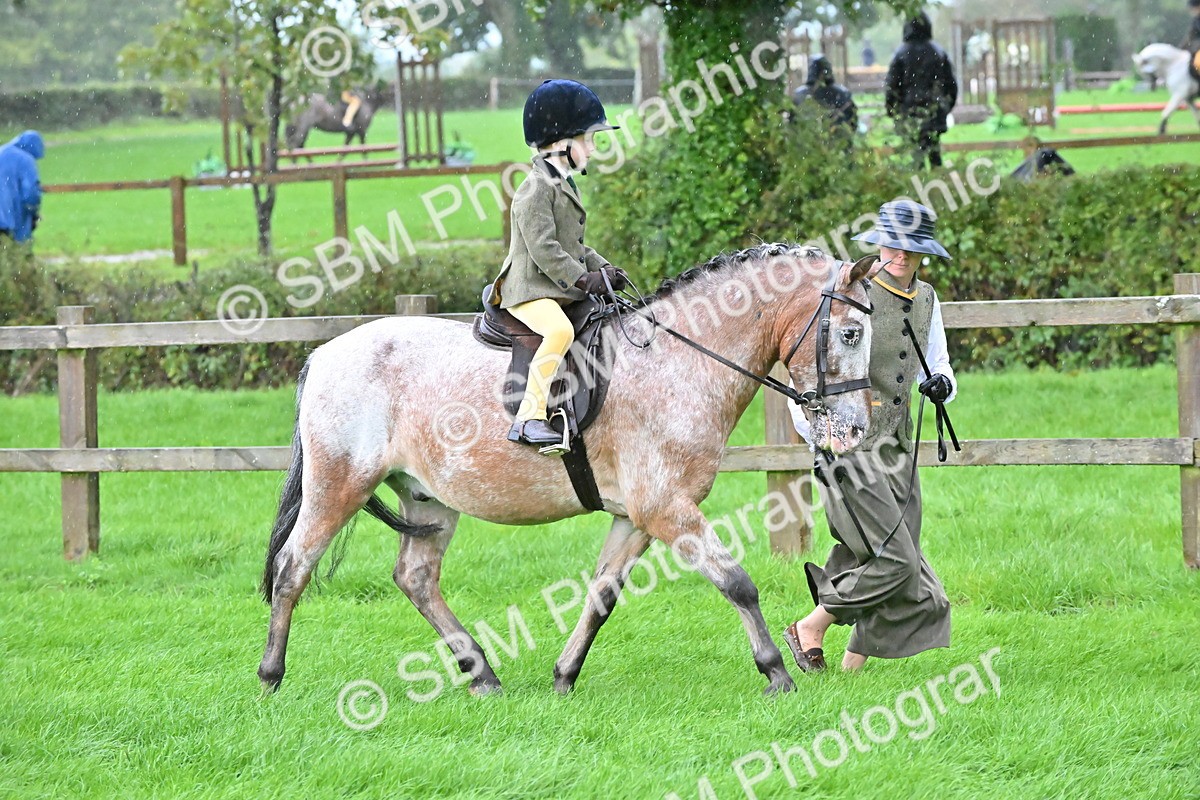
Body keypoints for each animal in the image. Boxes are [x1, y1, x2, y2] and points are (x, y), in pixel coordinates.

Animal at [257, 245, 882, 697]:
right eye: (851, 333)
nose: (854, 430)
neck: (678, 359)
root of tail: (324, 353)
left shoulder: (635, 518)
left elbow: (602, 596)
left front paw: (564, 677)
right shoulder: (668, 509)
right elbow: (738, 584)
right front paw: (777, 673)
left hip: (429, 499)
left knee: (415, 577)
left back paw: (482, 675)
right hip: (339, 484)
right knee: (293, 567)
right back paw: (270, 677)